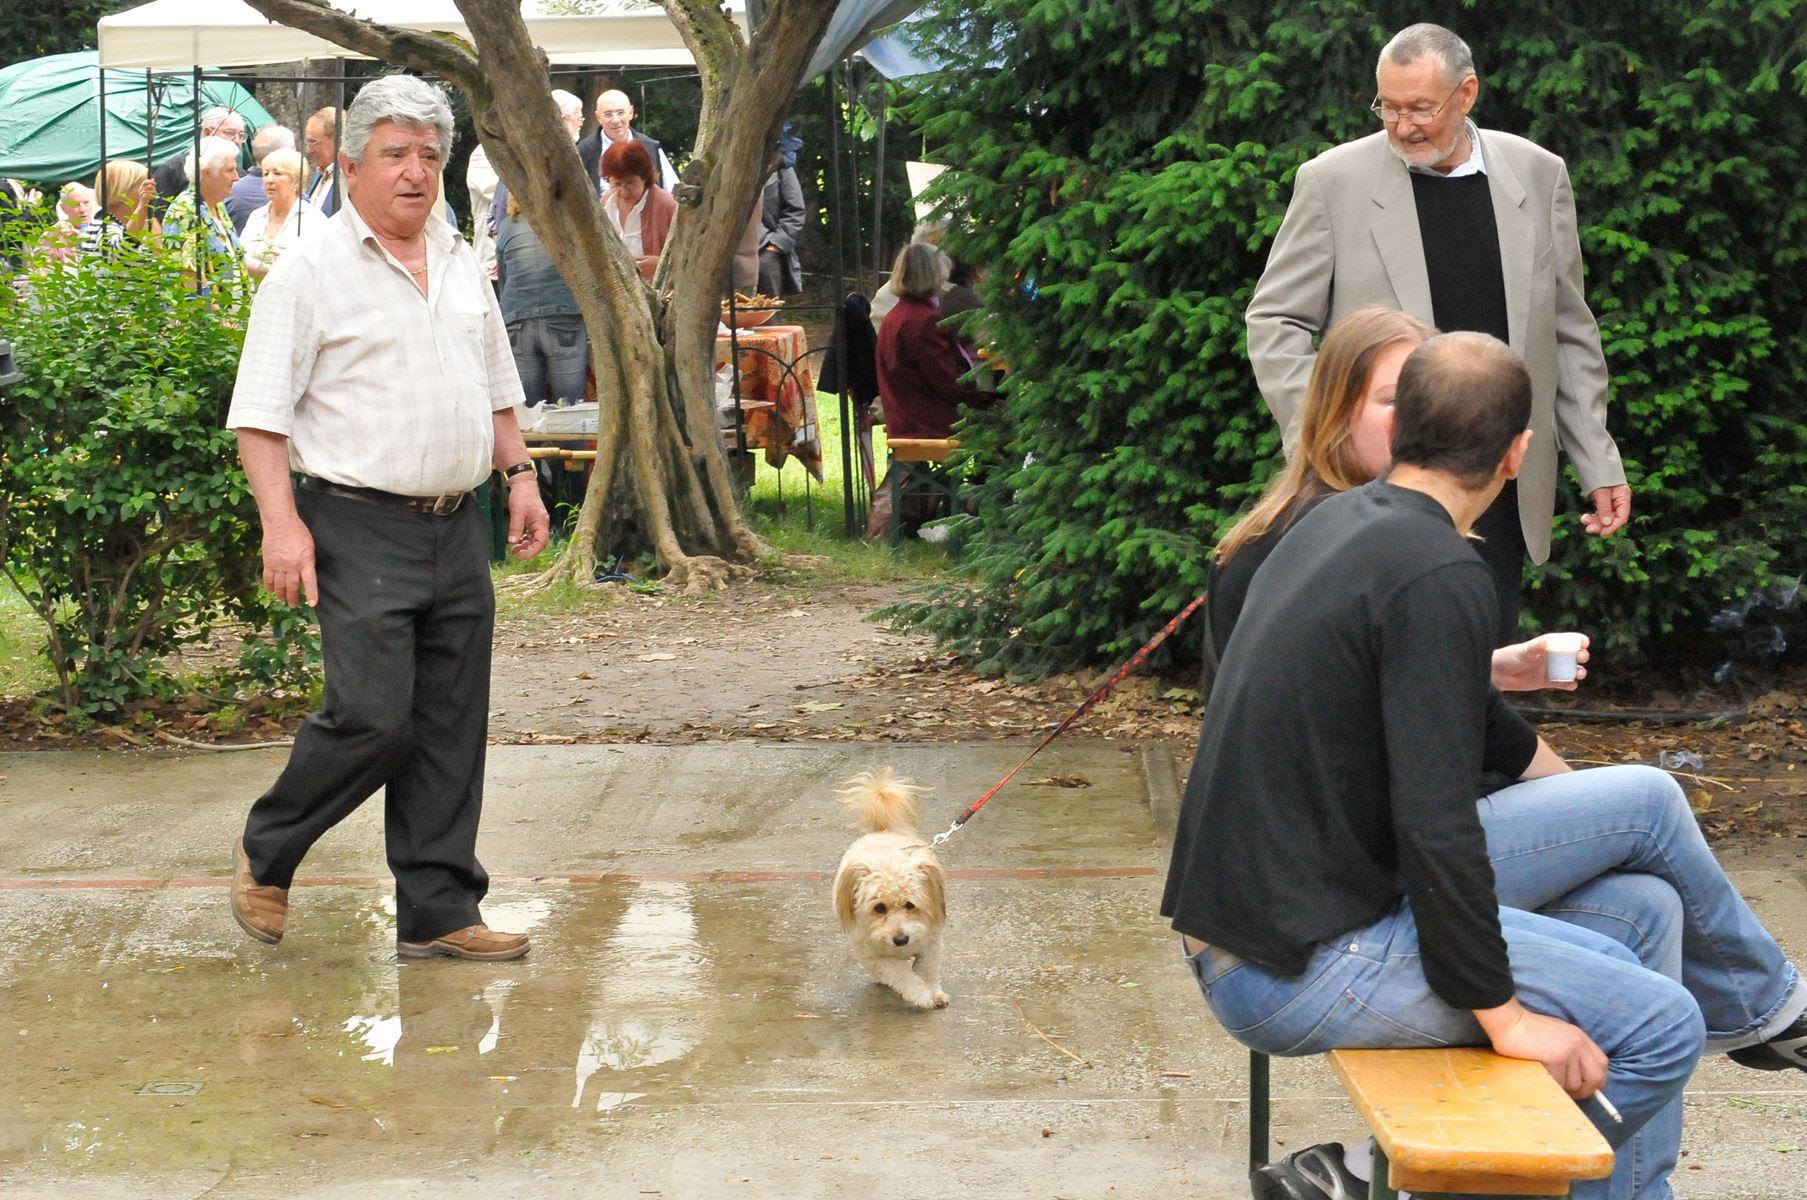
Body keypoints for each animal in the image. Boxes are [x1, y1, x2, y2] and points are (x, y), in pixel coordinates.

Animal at [832, 769, 949, 1010]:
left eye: (910, 905)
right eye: (879, 908)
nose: (901, 939)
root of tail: (882, 831)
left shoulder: (931, 943)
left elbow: (927, 970)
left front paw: (933, 992)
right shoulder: (874, 956)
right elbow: (901, 973)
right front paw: (921, 994)